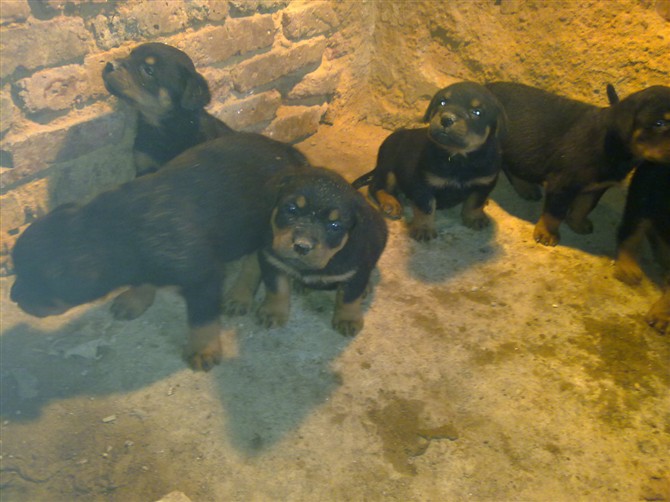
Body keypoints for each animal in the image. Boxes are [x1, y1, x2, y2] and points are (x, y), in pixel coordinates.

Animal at [10, 133, 307, 371]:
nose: (13, 297)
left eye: (37, 282)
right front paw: (136, 298)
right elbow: (144, 278)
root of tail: (287, 151)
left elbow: (202, 319)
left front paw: (203, 349)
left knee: (255, 259)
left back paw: (239, 294)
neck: (109, 229)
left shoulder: (203, 277)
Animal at [258, 167, 388, 336]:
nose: (302, 246)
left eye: (335, 226)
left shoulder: (356, 272)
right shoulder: (271, 259)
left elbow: (349, 297)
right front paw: (272, 312)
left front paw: (348, 319)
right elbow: (277, 288)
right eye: (292, 209)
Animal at [353, 81, 506, 241]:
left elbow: (476, 201)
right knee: (376, 187)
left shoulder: (485, 182)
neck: (458, 158)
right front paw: (424, 228)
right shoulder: (424, 183)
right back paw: (390, 203)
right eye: (442, 102)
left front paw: (475, 217)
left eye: (477, 112)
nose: (446, 119)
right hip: (388, 168)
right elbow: (426, 207)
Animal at [486, 81, 670, 246]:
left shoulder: (596, 186)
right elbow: (555, 212)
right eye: (659, 124)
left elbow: (584, 207)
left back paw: (526, 187)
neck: (612, 143)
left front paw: (577, 223)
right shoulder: (562, 183)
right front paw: (547, 234)